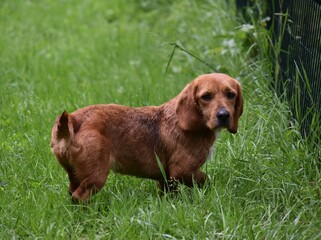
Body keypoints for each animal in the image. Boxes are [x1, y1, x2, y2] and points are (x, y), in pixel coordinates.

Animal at [50, 72, 242, 201]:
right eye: (206, 96)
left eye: (231, 94)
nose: (224, 115)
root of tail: (74, 119)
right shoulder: (183, 171)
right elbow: (205, 180)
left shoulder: (167, 178)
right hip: (96, 176)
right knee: (78, 197)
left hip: (75, 175)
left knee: (71, 192)